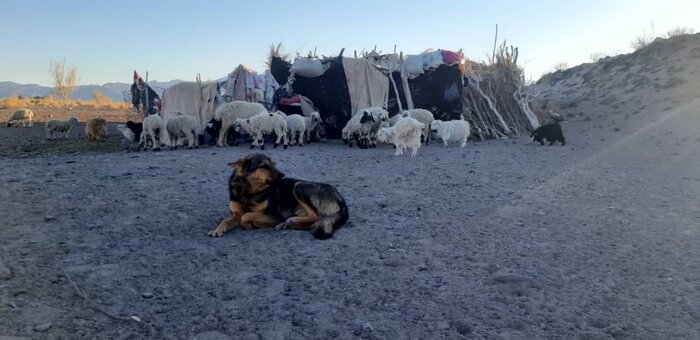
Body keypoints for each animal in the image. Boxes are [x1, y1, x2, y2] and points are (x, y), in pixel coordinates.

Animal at [208, 153, 350, 239]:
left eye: (274, 164)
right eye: (263, 166)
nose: (283, 175)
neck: (249, 191)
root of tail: (339, 196)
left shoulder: (276, 215)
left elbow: (246, 216)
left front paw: (251, 225)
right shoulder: (236, 214)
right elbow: (227, 220)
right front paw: (218, 229)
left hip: (299, 186)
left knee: (316, 217)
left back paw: (291, 221)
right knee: (312, 223)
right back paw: (288, 225)